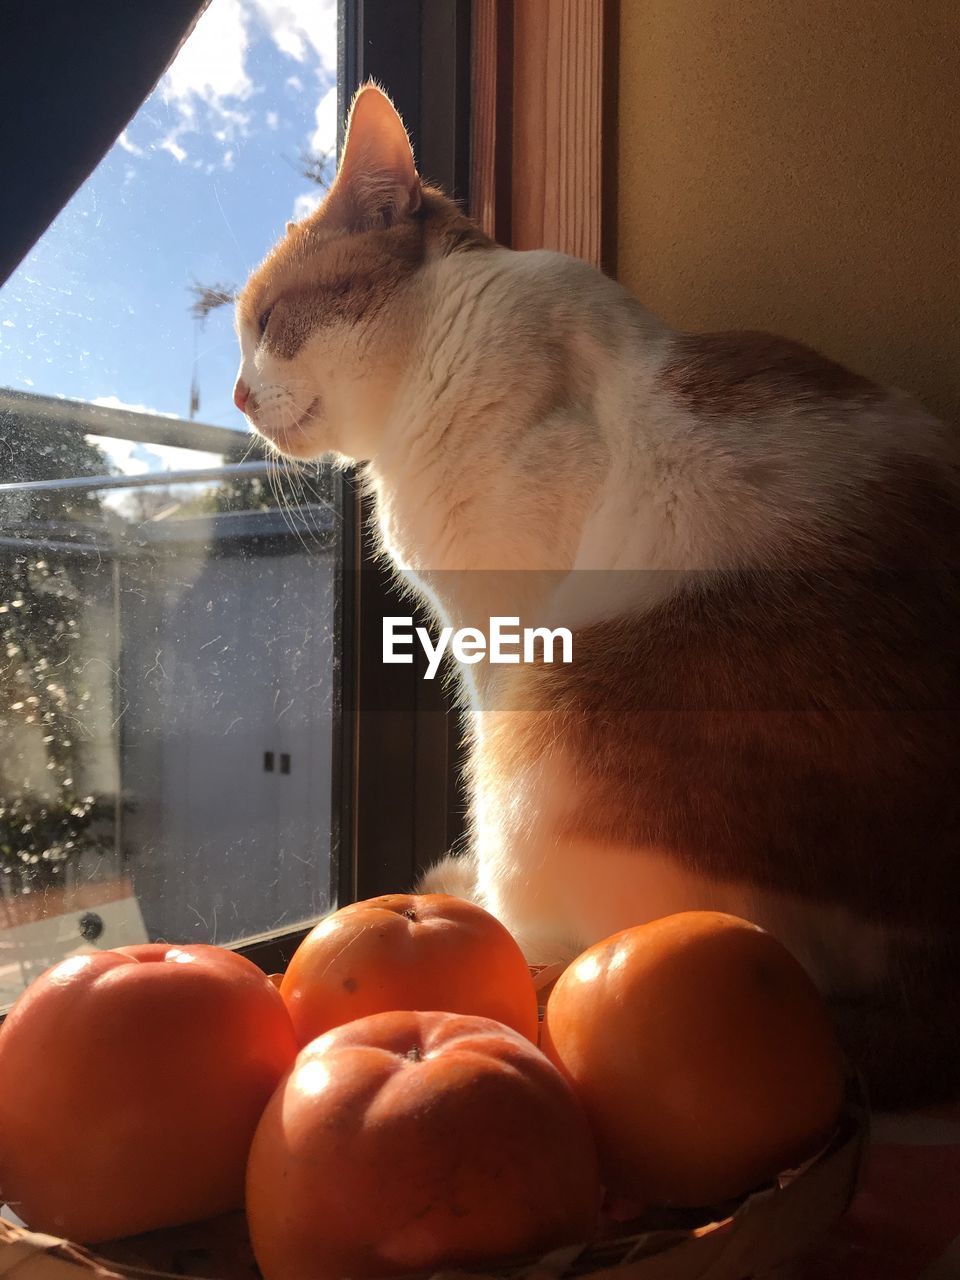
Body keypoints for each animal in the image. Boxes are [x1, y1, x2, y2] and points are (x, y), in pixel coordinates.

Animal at [235, 82, 960, 1111]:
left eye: (266, 323)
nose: (235, 394)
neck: (440, 348)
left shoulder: (497, 638)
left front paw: (473, 906)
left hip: (550, 736)